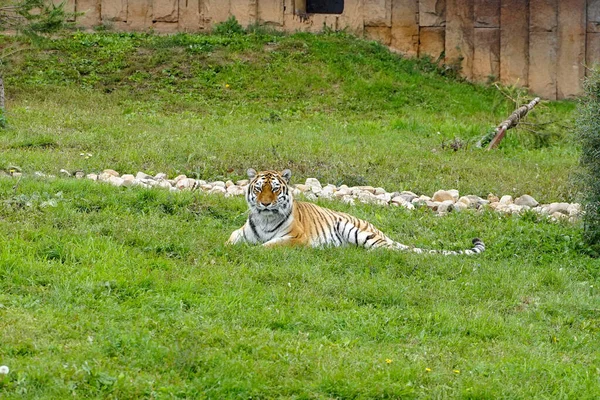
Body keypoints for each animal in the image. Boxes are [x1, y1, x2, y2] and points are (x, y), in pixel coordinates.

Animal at [227, 169, 486, 256]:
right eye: (259, 189)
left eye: (275, 189)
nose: (265, 204)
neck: (265, 219)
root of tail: (378, 229)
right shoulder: (241, 233)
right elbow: (229, 240)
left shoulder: (296, 238)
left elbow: (269, 246)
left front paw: (253, 251)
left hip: (357, 231)